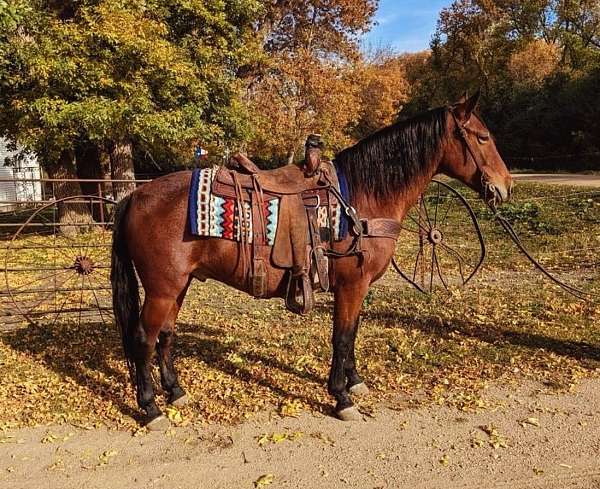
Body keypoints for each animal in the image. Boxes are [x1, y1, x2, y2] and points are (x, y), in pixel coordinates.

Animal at [111, 92, 510, 428]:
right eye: (482, 138)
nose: (505, 186)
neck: (363, 199)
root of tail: (135, 196)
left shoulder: (357, 288)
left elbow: (352, 333)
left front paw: (355, 381)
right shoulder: (352, 285)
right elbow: (342, 337)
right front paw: (342, 397)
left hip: (179, 285)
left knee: (166, 334)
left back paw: (176, 392)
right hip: (162, 289)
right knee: (144, 338)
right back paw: (150, 408)